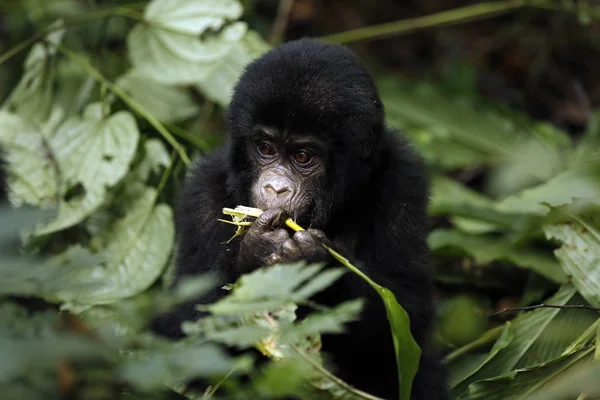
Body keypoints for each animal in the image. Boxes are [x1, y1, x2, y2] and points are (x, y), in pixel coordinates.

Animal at [152, 38, 448, 400]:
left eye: (303, 156)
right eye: (265, 147)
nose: (274, 187)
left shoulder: (404, 180)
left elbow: (409, 319)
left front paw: (317, 261)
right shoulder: (203, 190)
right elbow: (183, 328)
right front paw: (258, 249)